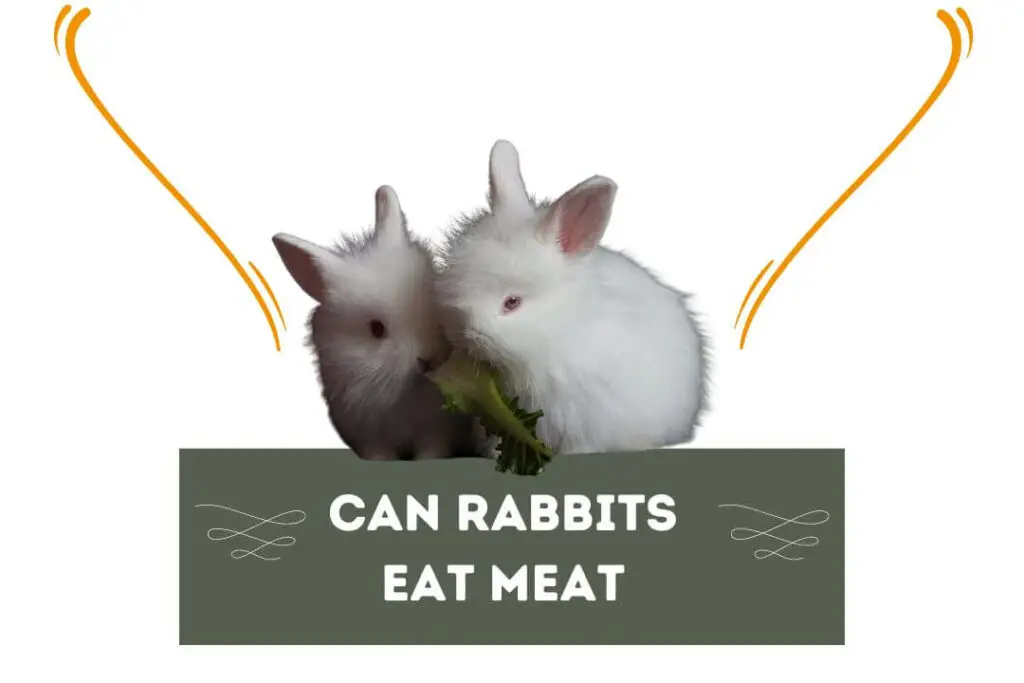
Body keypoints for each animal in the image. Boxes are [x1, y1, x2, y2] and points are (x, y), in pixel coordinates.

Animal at [272, 185, 485, 461]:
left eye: (433, 306)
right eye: (376, 329)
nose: (427, 358)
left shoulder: (437, 429)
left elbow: (433, 448)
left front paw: (425, 460)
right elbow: (379, 451)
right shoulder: (368, 432)